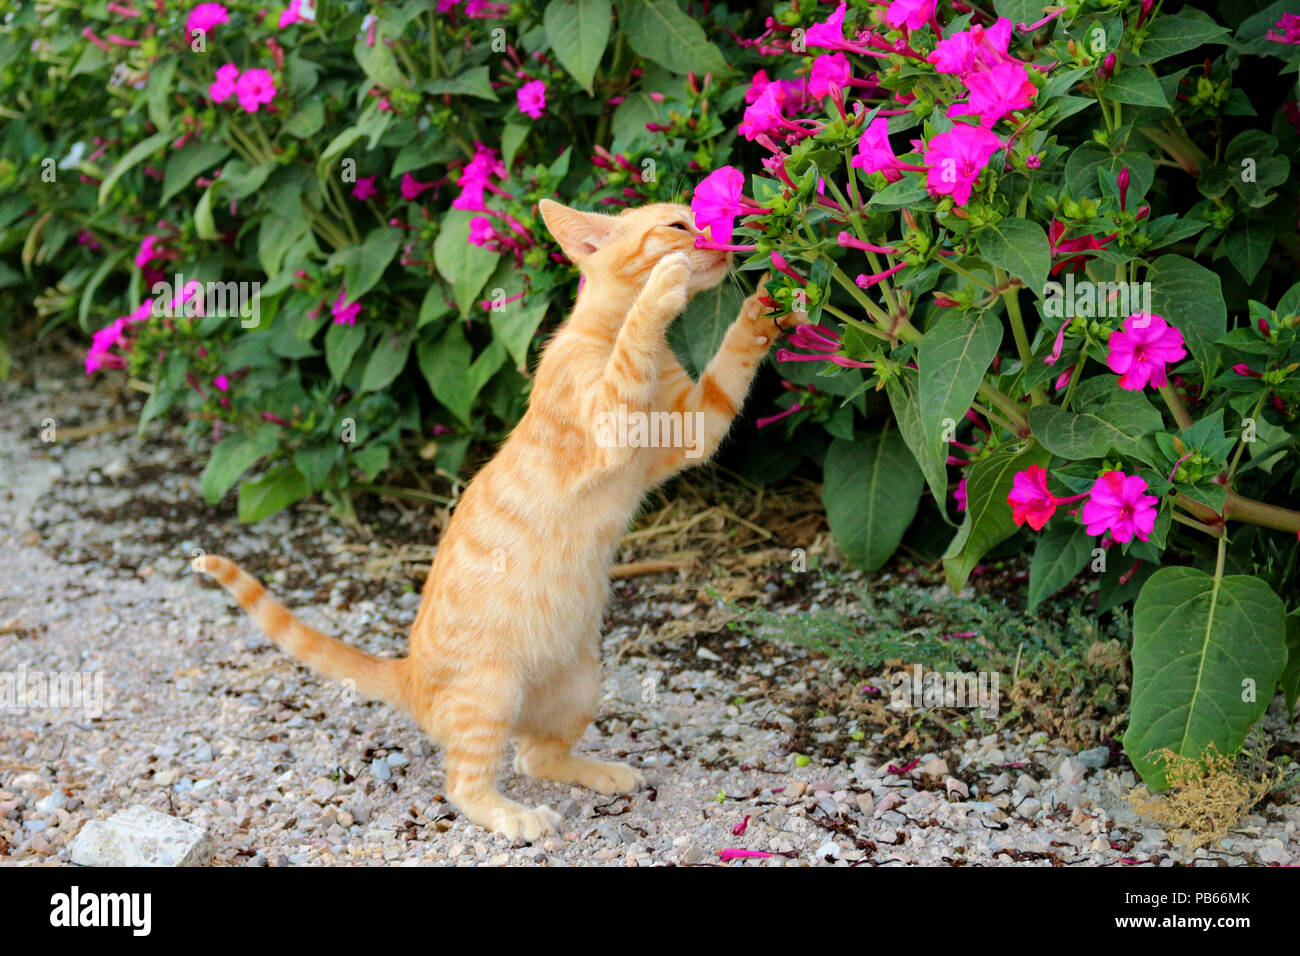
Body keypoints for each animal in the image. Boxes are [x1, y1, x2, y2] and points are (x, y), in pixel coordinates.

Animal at [193, 197, 780, 842]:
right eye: (678, 226)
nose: (724, 243)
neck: (604, 331)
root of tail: (410, 674)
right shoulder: (610, 417)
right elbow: (633, 349)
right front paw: (660, 291)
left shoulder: (693, 428)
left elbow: (729, 369)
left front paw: (768, 304)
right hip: (490, 692)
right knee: (468, 783)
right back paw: (517, 817)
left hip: (580, 683)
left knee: (535, 756)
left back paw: (599, 772)